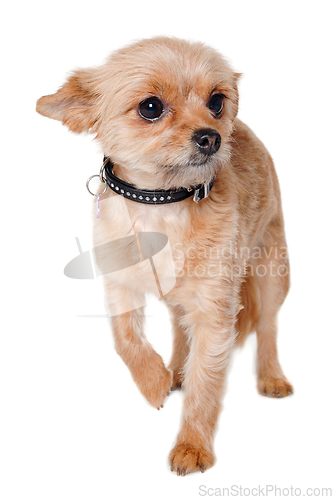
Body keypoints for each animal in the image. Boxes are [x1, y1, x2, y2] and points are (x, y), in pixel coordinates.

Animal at [35, 37, 292, 474]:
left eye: (217, 102)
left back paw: (270, 376)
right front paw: (153, 381)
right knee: (179, 329)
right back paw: (175, 370)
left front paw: (192, 446)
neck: (162, 205)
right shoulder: (119, 288)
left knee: (268, 325)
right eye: (151, 107)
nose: (212, 137)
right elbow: (126, 340)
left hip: (273, 271)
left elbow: (206, 383)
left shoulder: (214, 311)